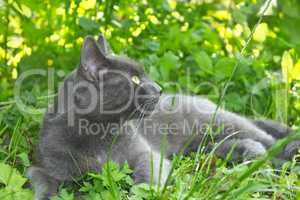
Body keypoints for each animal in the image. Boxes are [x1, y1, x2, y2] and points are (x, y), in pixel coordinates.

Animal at [27, 35, 298, 199]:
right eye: (135, 79)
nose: (159, 88)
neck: (99, 132)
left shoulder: (145, 154)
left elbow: (146, 175)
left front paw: (140, 193)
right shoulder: (48, 165)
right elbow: (43, 182)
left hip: (224, 124)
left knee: (269, 139)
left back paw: (285, 155)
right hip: (200, 147)